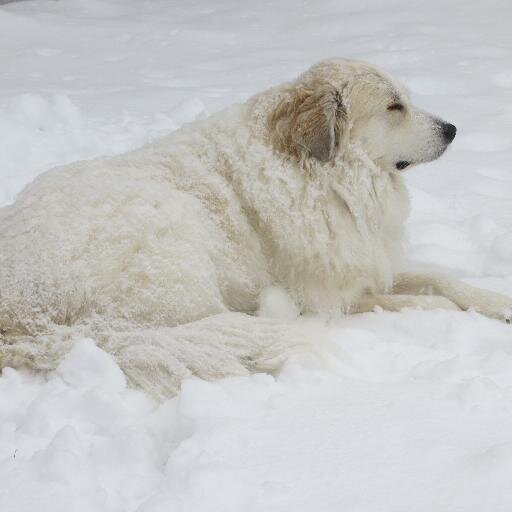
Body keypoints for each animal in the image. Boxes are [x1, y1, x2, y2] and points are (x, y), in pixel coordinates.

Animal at [1, 59, 512, 396]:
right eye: (394, 106)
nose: (452, 129)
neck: (324, 175)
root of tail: (22, 309)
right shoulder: (334, 296)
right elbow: (418, 301)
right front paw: (441, 311)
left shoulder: (365, 261)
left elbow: (444, 279)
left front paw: (497, 303)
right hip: (171, 230)